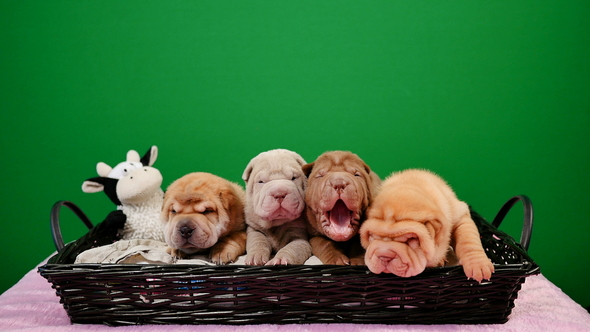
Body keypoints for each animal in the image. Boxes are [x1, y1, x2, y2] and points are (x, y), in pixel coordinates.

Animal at [360, 169, 494, 282]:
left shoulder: (460, 216)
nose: (384, 256)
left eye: (411, 239)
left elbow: (468, 240)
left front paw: (479, 265)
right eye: (372, 236)